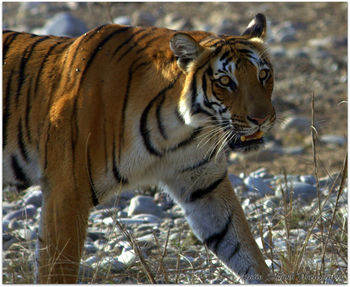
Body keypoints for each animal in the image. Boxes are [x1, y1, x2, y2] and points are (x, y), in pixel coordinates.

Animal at [2, 12, 276, 284]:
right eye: (225, 81)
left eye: (263, 75)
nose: (262, 118)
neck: (181, 131)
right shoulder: (67, 191)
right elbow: (57, 267)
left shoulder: (205, 186)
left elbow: (242, 247)